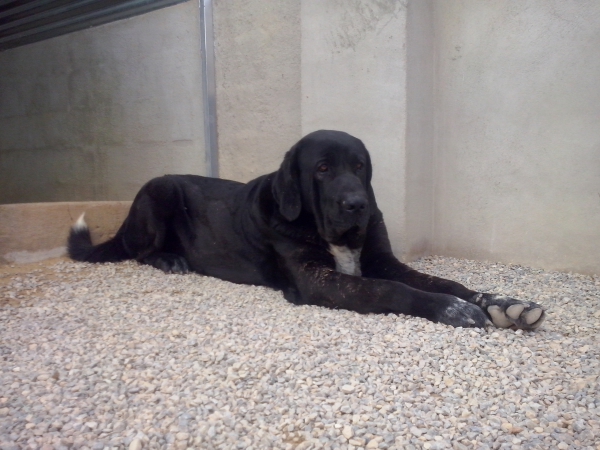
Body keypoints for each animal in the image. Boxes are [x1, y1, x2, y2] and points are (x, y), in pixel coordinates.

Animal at [69, 130, 544, 330]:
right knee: (138, 250)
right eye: (322, 169)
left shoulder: (383, 260)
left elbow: (443, 280)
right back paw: (169, 259)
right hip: (160, 189)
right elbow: (390, 289)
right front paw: (450, 309)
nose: (357, 204)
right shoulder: (318, 280)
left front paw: (502, 303)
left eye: (359, 166)